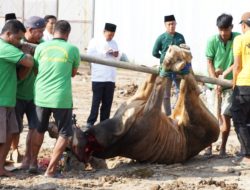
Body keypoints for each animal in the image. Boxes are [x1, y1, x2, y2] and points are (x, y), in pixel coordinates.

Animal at [72, 45, 219, 165]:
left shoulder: (136, 101)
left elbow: (147, 85)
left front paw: (160, 65)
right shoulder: (150, 113)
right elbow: (158, 86)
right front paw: (166, 63)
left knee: (186, 84)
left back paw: (184, 54)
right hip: (202, 122)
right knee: (189, 89)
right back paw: (182, 64)